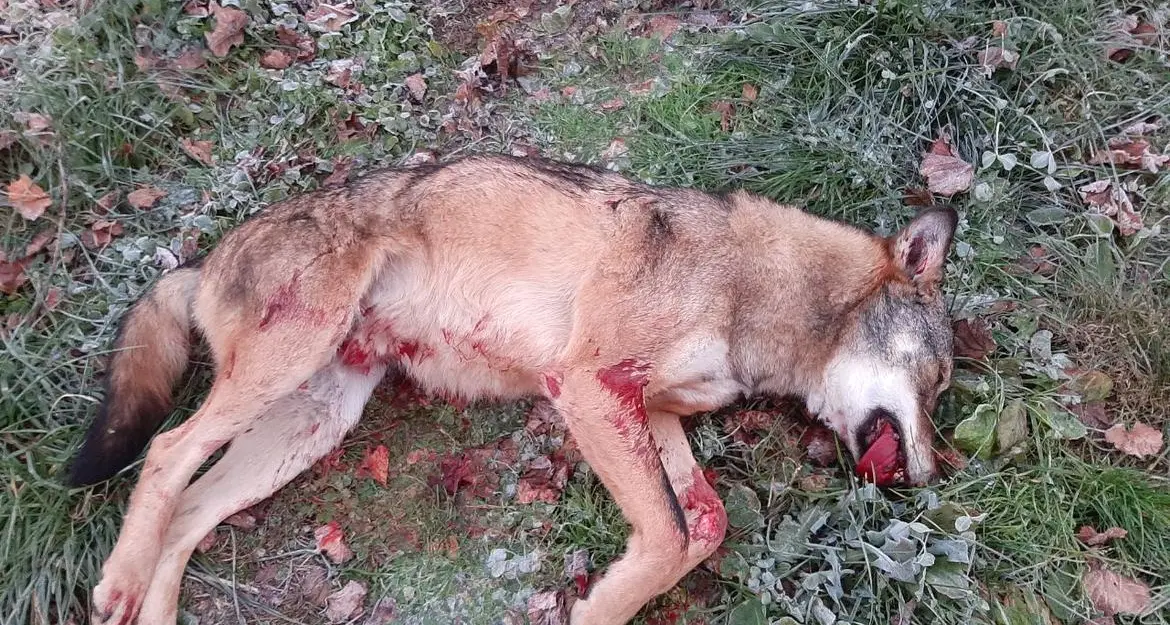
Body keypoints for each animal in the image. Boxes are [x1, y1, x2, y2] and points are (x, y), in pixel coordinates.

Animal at [67, 154, 956, 625]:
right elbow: (672, 538)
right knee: (165, 449)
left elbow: (701, 524)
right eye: (940, 381)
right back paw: (119, 578)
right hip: (285, 371)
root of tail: (205, 256)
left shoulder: (646, 406)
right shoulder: (588, 385)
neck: (755, 284)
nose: (931, 474)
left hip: (312, 423)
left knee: (189, 508)